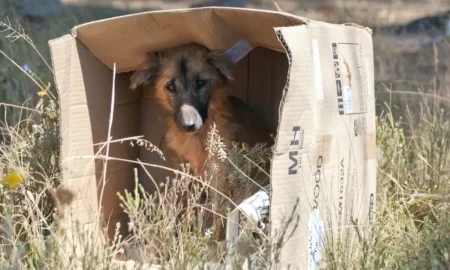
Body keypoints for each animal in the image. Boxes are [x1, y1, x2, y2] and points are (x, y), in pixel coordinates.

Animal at [130, 43, 274, 247]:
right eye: (171, 86)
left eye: (200, 82)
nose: (188, 125)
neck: (198, 137)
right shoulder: (185, 175)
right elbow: (184, 208)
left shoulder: (220, 180)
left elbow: (218, 219)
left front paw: (214, 245)